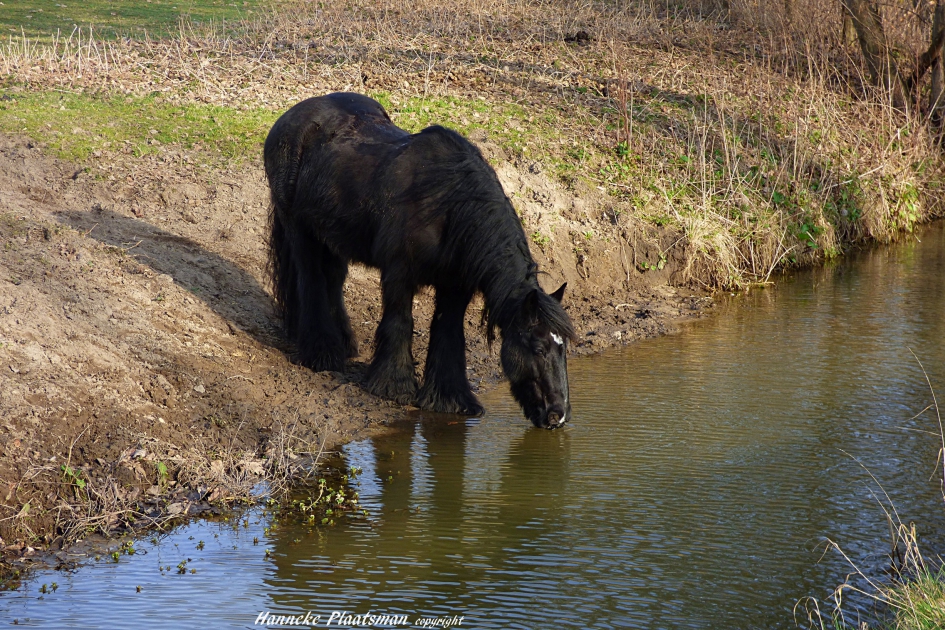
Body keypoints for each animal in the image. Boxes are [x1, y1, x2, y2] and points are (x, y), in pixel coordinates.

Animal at [264, 92, 575, 428]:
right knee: (311, 281)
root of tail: (290, 116)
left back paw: (344, 345)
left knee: (332, 281)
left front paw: (450, 399)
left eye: (564, 349)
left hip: (334, 239)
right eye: (538, 347)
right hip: (300, 231)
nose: (558, 415)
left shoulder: (455, 289)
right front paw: (393, 387)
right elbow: (400, 323)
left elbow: (449, 335)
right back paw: (321, 354)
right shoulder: (399, 274)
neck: (446, 205)